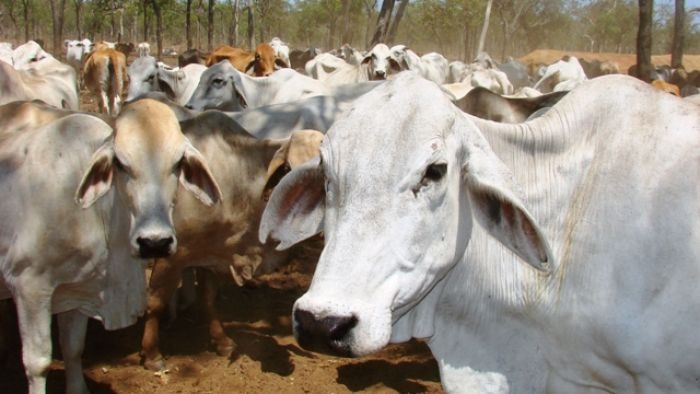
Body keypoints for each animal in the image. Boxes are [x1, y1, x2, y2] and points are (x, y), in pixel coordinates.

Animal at [0, 101, 221, 394]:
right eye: (120, 163)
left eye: (178, 163)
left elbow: (73, 348)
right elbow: (38, 363)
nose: (154, 242)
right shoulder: (29, 288)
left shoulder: (76, 290)